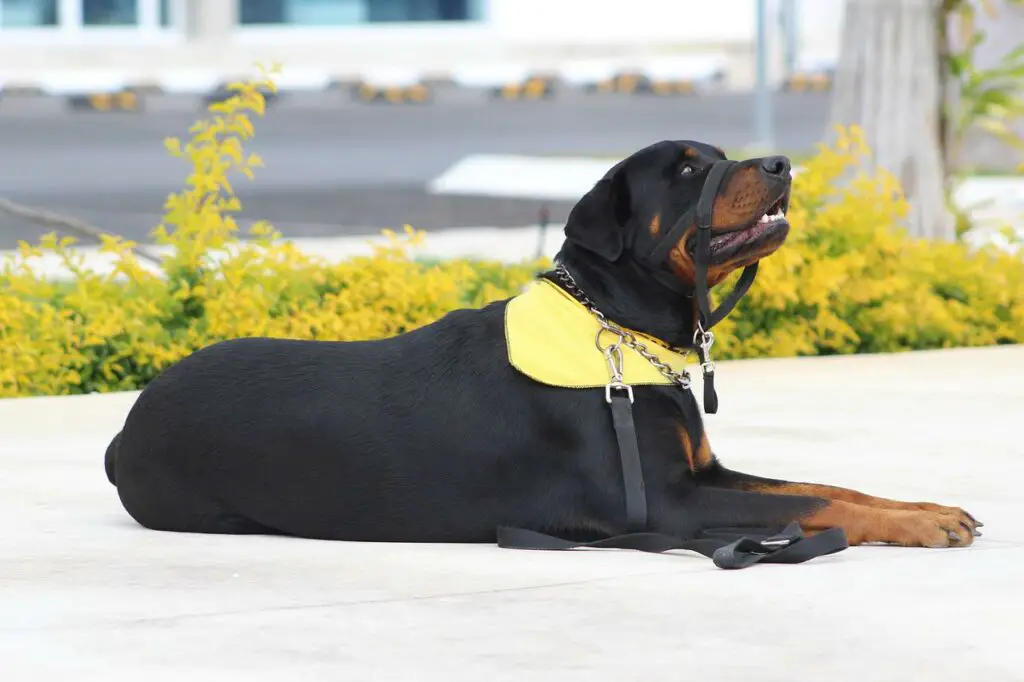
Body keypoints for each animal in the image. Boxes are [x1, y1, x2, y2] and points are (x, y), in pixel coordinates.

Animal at [105, 139, 983, 561]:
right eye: (687, 170)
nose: (780, 162)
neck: (619, 323)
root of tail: (124, 427)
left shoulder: (703, 474)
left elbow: (826, 487)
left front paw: (924, 511)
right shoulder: (667, 503)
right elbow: (813, 504)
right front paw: (922, 527)